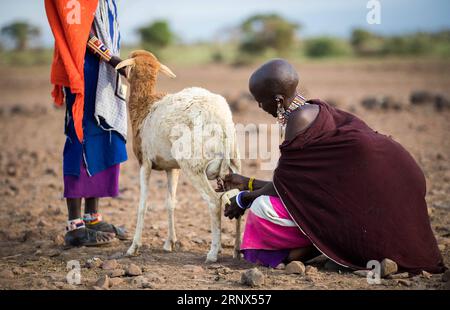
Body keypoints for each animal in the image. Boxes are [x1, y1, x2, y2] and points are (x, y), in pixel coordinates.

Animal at [118, 50, 241, 262]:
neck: (146, 106)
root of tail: (221, 121)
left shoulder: (145, 164)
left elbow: (143, 204)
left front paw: (133, 247)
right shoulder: (172, 168)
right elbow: (171, 203)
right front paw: (170, 243)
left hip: (194, 169)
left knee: (214, 202)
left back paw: (213, 253)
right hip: (232, 167)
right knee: (238, 200)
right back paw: (237, 251)